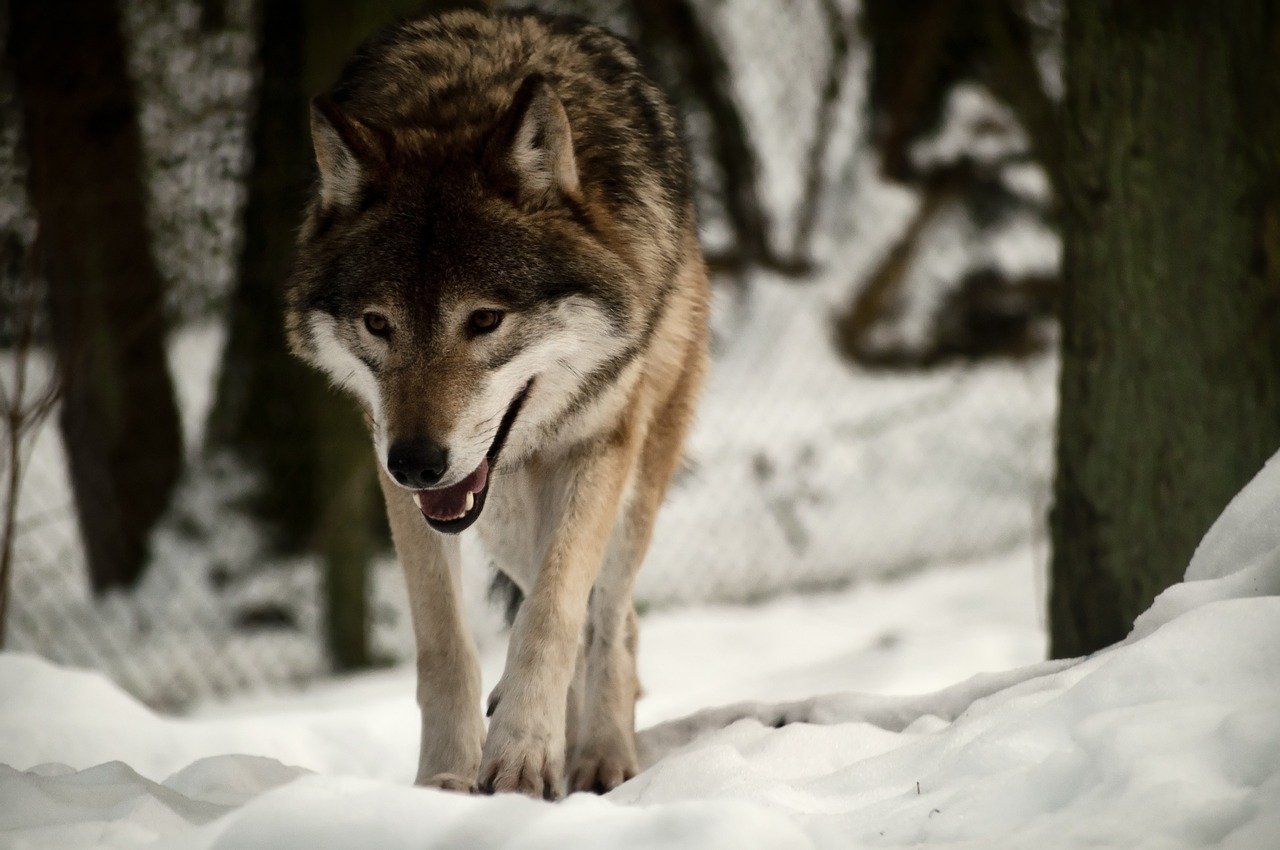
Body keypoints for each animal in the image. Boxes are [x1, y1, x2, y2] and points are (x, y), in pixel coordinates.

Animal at [282, 9, 711, 798]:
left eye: (484, 320)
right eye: (377, 324)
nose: (418, 463)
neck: (464, 98)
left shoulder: (597, 445)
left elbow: (553, 614)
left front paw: (520, 757)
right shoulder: (400, 474)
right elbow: (445, 644)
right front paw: (447, 779)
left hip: (632, 475)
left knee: (611, 614)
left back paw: (602, 755)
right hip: (501, 515)